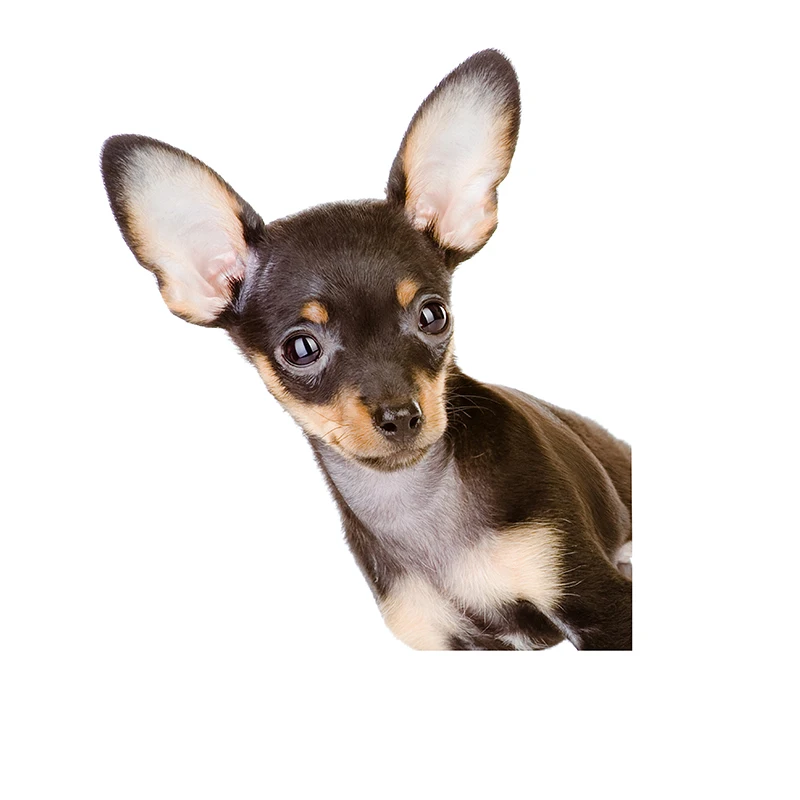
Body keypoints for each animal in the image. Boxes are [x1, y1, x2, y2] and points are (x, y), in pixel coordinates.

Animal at [101, 49, 632, 650]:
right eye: (301, 347)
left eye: (433, 316)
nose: (400, 416)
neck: (414, 504)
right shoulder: (443, 642)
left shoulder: (603, 608)